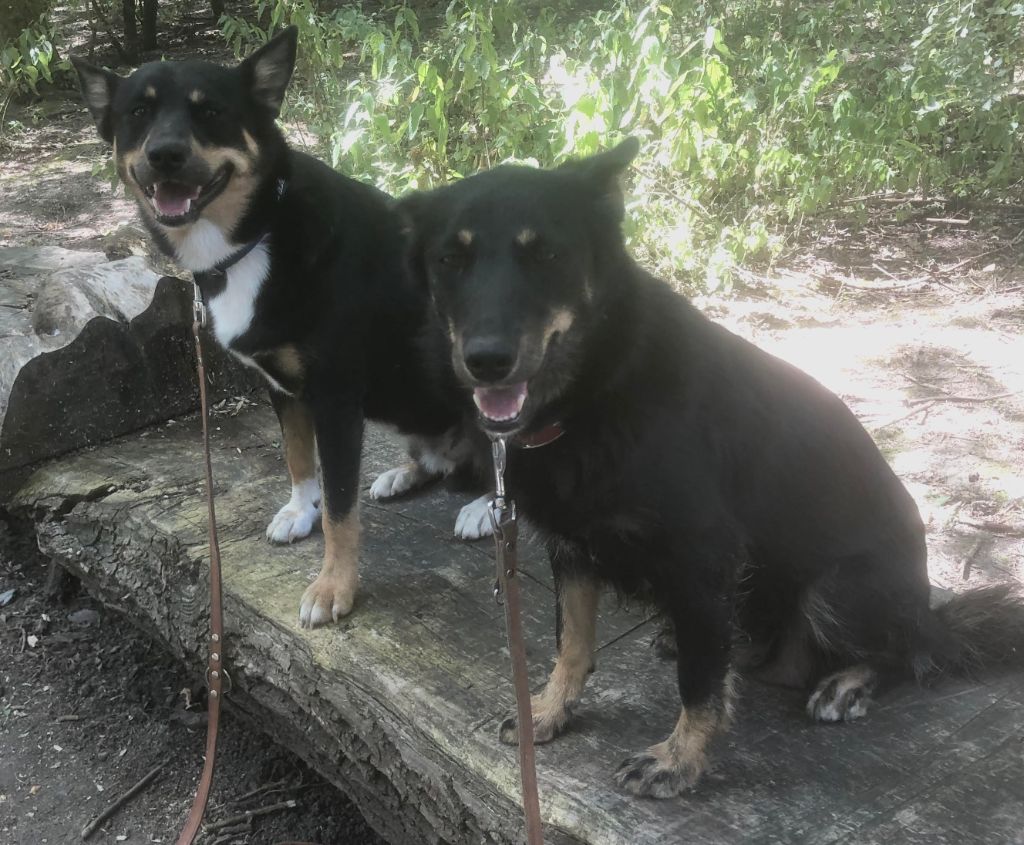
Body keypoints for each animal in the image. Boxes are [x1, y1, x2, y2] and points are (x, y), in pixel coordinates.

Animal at [73, 29, 491, 626]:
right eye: (138, 112)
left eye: (211, 111)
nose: (165, 155)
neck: (254, 238)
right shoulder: (282, 386)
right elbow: (297, 457)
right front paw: (299, 510)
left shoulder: (336, 397)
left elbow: (341, 507)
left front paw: (334, 585)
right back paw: (403, 474)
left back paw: (486, 507)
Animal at [399, 140, 1024, 798]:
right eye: (450, 259)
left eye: (546, 253)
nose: (486, 361)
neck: (600, 391)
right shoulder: (573, 549)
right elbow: (571, 642)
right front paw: (546, 710)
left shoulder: (702, 557)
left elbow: (699, 685)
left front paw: (678, 760)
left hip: (836, 591)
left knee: (908, 651)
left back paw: (846, 683)